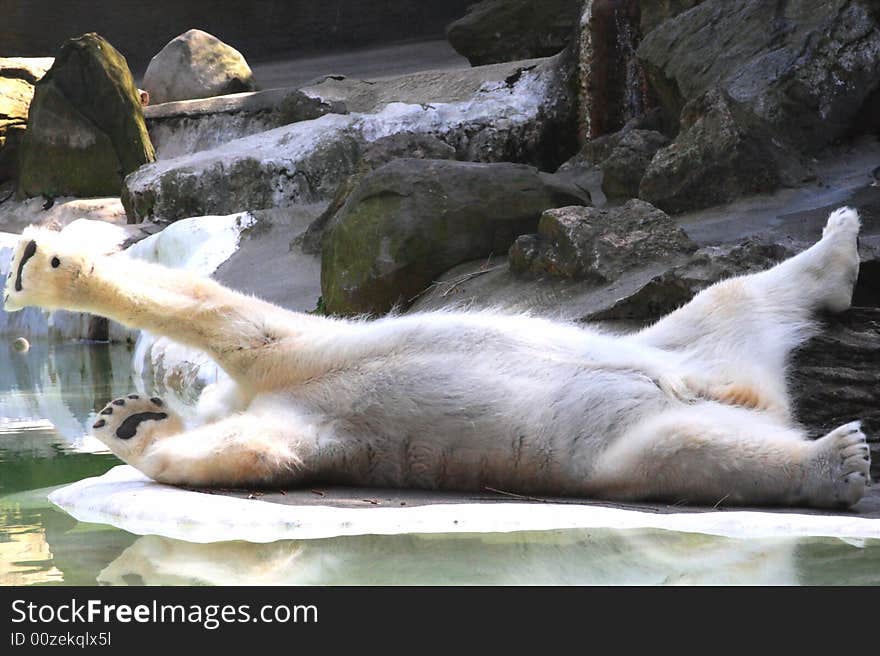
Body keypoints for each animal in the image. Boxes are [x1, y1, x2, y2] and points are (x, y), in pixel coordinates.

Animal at [1, 205, 872, 508]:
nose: (122, 406)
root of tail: (751, 392)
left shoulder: (288, 351)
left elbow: (212, 310)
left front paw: (43, 264)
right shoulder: (301, 414)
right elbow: (246, 455)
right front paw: (130, 422)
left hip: (676, 345)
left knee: (729, 303)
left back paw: (834, 249)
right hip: (643, 422)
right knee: (692, 443)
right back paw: (833, 459)